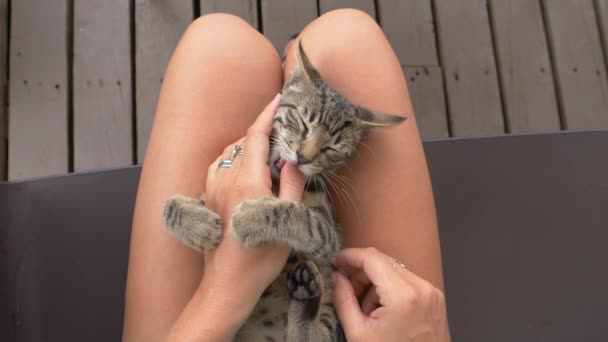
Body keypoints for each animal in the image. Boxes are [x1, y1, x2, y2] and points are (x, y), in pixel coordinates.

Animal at [164, 41, 406, 340]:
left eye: (332, 148)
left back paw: (305, 299)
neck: (276, 181)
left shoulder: (329, 237)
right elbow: (169, 205)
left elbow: (299, 217)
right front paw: (199, 225)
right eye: (302, 121)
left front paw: (251, 219)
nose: (303, 157)